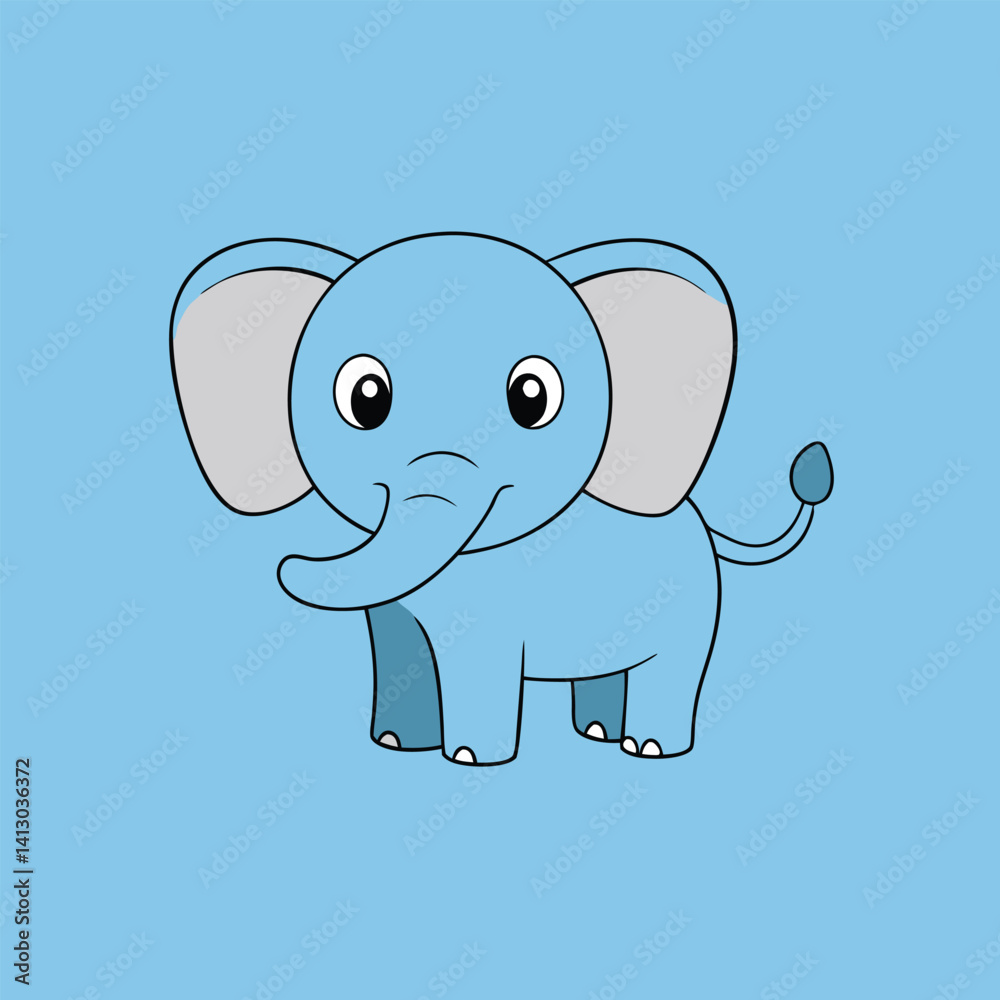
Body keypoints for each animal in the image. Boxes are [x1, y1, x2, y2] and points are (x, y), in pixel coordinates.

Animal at [170, 233, 833, 765]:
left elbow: (476, 661)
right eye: (365, 398)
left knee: (673, 669)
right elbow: (399, 647)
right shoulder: (394, 608)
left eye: (531, 398)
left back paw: (646, 747)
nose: (288, 562)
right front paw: (396, 743)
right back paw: (596, 731)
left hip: (694, 602)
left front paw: (467, 758)